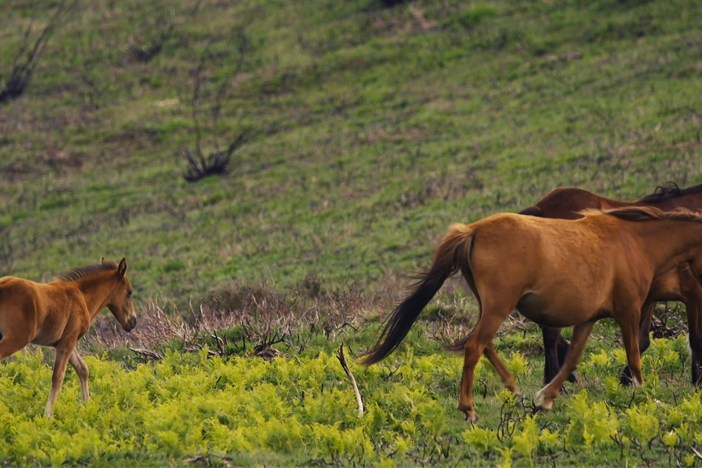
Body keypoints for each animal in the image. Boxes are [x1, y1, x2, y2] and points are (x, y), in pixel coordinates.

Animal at [0, 258, 136, 418]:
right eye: (129, 292)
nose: (133, 322)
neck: (81, 295)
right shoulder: (68, 342)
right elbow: (58, 377)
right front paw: (48, 415)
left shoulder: (64, 342)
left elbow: (83, 369)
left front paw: (87, 404)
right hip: (16, 338)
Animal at [366, 207, 702, 422]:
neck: (636, 242)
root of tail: (473, 230)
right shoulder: (629, 311)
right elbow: (634, 356)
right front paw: (644, 396)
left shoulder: (588, 318)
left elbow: (571, 360)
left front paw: (546, 399)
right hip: (499, 306)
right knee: (474, 346)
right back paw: (469, 409)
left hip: (489, 306)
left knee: (483, 344)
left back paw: (513, 389)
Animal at [520, 184, 702, 388]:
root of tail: (541, 208)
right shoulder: (693, 293)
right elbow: (696, 340)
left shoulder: (649, 297)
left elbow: (641, 340)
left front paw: (626, 379)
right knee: (551, 333)